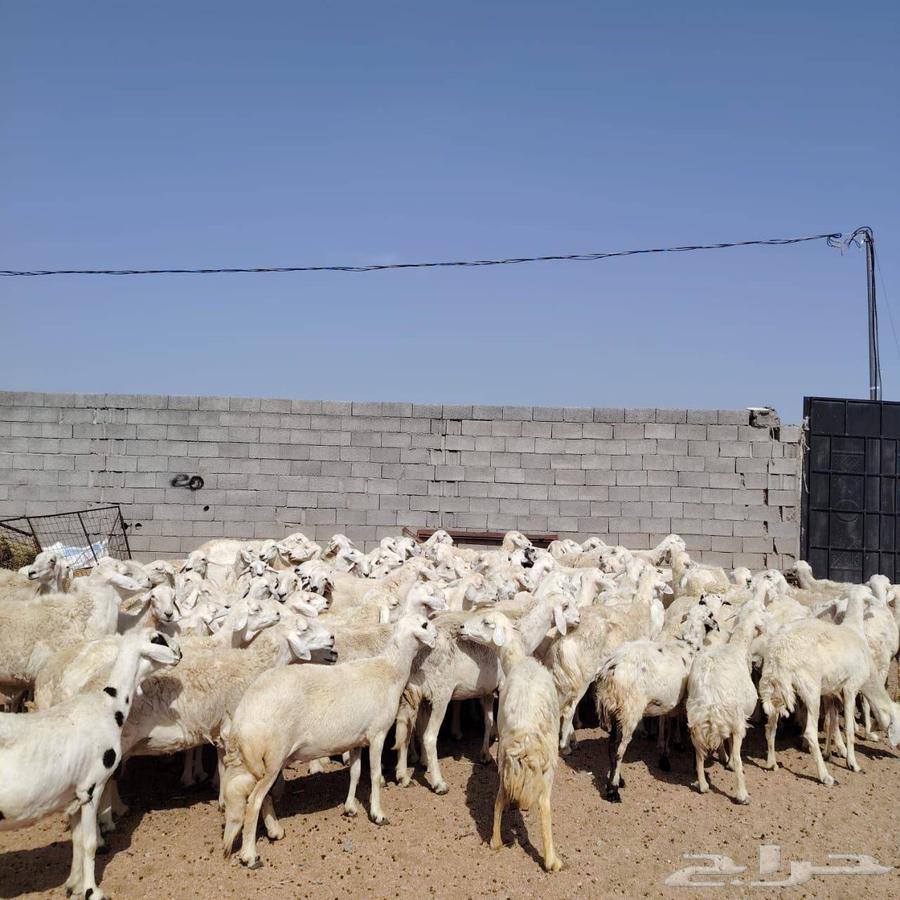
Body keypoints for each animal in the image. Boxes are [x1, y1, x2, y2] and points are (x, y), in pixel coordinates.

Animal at [0, 629, 181, 900]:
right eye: (158, 639)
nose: (180, 653)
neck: (108, 705)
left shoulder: (73, 795)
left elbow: (76, 841)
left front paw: (73, 885)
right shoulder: (91, 787)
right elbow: (89, 843)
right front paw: (92, 891)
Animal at [221, 613, 438, 869]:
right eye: (424, 625)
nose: (437, 636)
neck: (390, 670)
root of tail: (244, 712)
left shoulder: (356, 740)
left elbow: (355, 773)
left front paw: (351, 808)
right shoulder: (377, 734)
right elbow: (374, 775)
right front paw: (378, 814)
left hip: (265, 761)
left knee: (263, 797)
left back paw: (275, 831)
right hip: (272, 756)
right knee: (254, 801)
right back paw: (250, 855)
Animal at [458, 609, 568, 872]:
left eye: (486, 622)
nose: (461, 627)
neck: (516, 659)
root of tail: (526, 742)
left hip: (518, 757)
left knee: (507, 800)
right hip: (541, 764)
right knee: (539, 804)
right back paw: (546, 858)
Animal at [759, 586, 900, 784]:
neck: (853, 628)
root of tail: (779, 653)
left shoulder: (831, 691)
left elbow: (831, 722)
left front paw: (830, 752)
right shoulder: (850, 687)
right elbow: (848, 728)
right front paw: (852, 763)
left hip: (776, 687)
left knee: (770, 726)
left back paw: (771, 763)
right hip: (810, 688)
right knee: (810, 733)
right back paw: (825, 776)